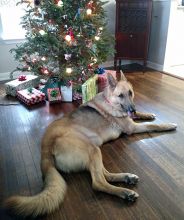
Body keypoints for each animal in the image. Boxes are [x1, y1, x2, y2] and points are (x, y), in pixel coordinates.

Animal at [4, 72, 177, 217]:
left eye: (130, 93)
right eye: (120, 96)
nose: (132, 109)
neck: (110, 100)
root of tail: (45, 149)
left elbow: (144, 117)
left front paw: (147, 113)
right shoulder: (132, 127)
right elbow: (153, 126)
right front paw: (168, 124)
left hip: (94, 151)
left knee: (104, 174)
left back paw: (127, 178)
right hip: (92, 150)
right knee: (98, 183)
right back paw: (124, 192)